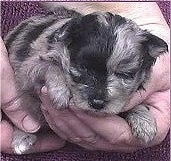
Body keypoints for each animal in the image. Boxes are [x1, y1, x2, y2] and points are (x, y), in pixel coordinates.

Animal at [4, 6, 168, 154]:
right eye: (83, 68)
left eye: (124, 74)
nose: (97, 103)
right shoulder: (28, 69)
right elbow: (51, 64)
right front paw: (60, 92)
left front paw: (144, 121)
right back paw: (22, 137)